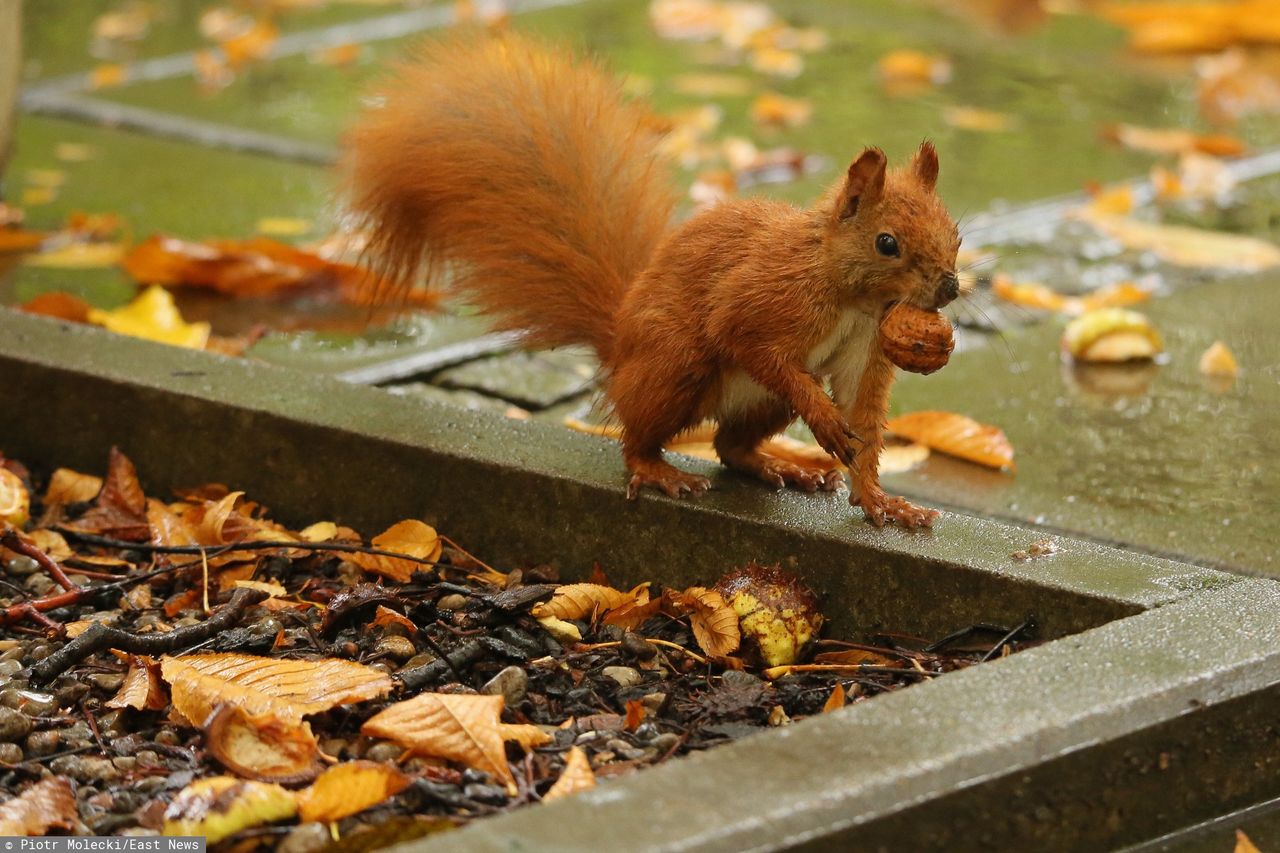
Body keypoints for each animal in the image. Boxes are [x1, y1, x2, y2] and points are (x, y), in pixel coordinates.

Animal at [340, 33, 962, 525]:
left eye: (955, 233)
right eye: (887, 243)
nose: (949, 288)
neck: (851, 296)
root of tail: (619, 347)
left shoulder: (866, 350)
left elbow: (865, 419)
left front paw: (881, 501)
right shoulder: (763, 299)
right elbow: (753, 343)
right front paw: (826, 422)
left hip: (758, 404)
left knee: (729, 445)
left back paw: (783, 466)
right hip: (675, 365)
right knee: (638, 438)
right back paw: (661, 470)